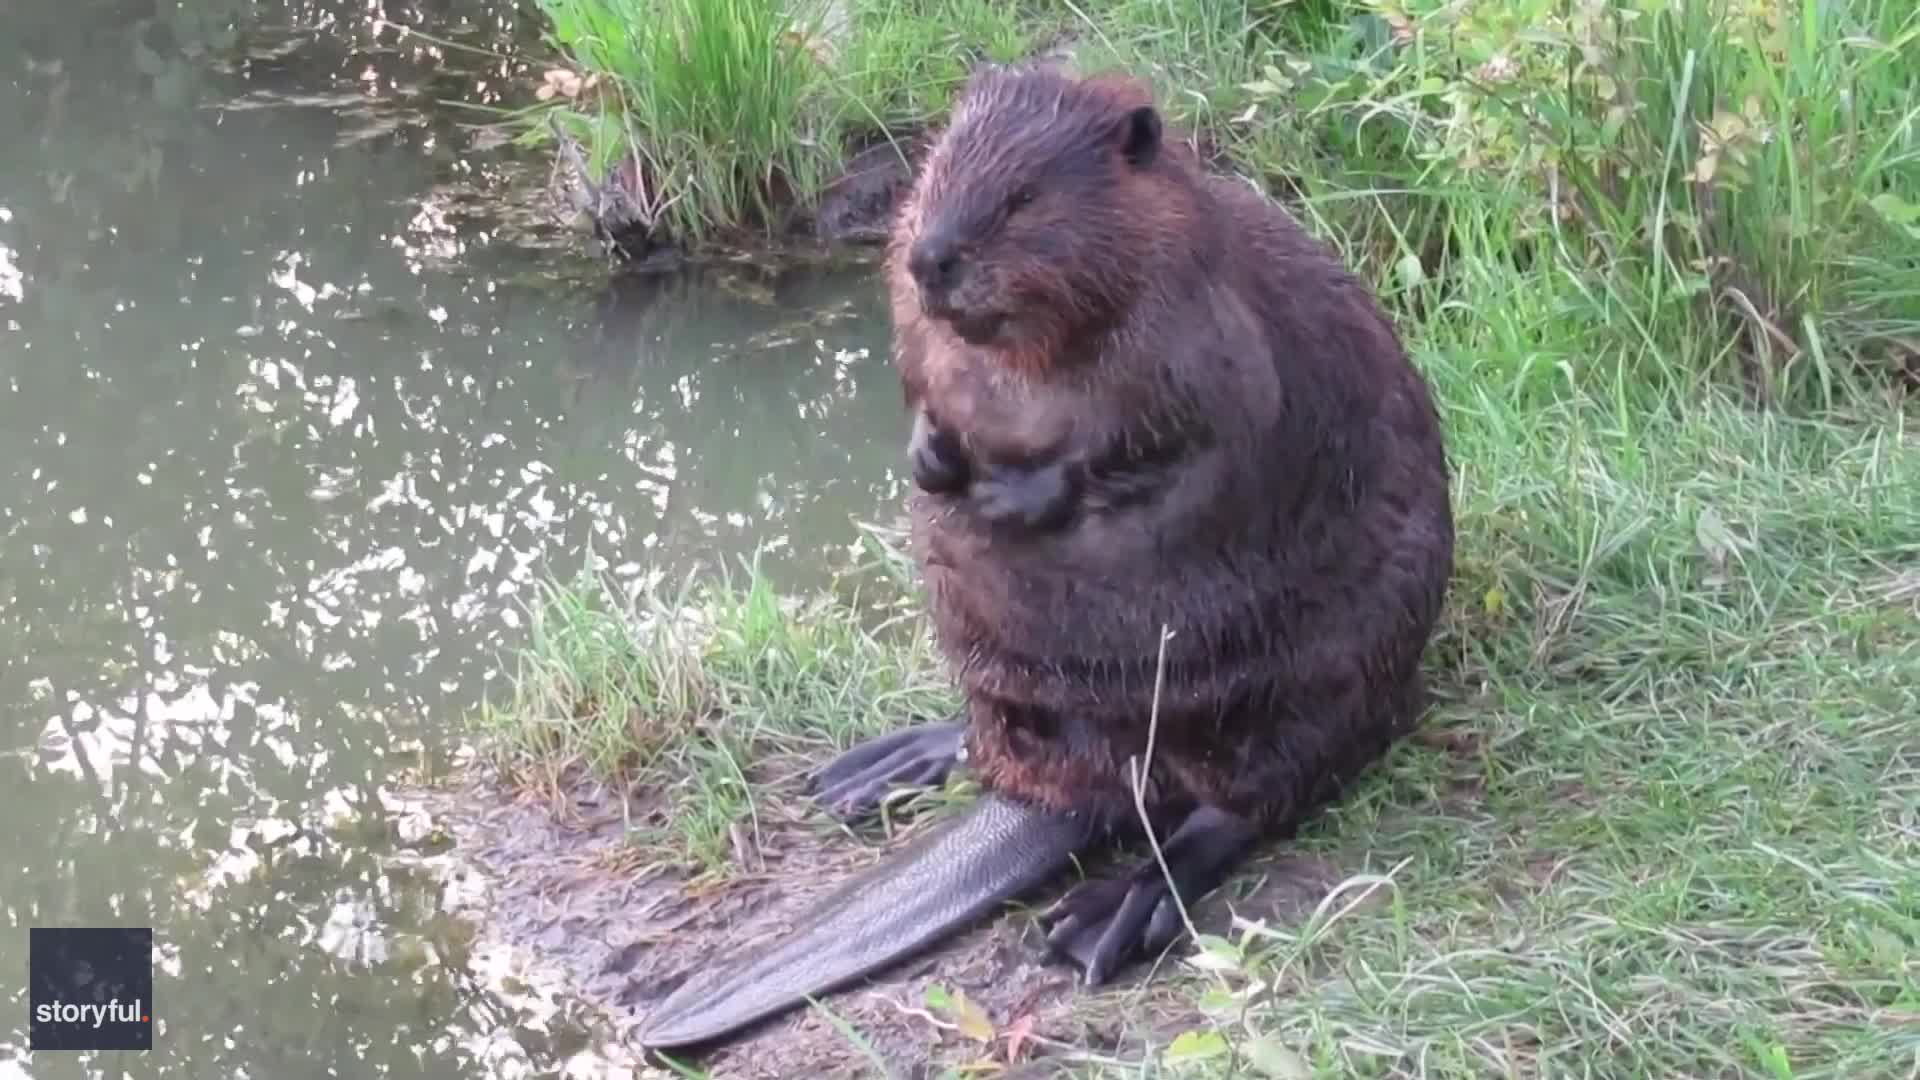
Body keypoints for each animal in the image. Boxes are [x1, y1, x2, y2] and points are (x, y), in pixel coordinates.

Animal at [633, 62, 1451, 1045]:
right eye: (933, 174)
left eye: (1024, 197)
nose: (931, 258)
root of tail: (1064, 798)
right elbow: (922, 391)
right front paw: (933, 460)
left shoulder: (1212, 333)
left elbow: (1172, 456)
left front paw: (1001, 495)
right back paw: (882, 769)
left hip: (1308, 691)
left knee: (1236, 808)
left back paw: (1109, 914)